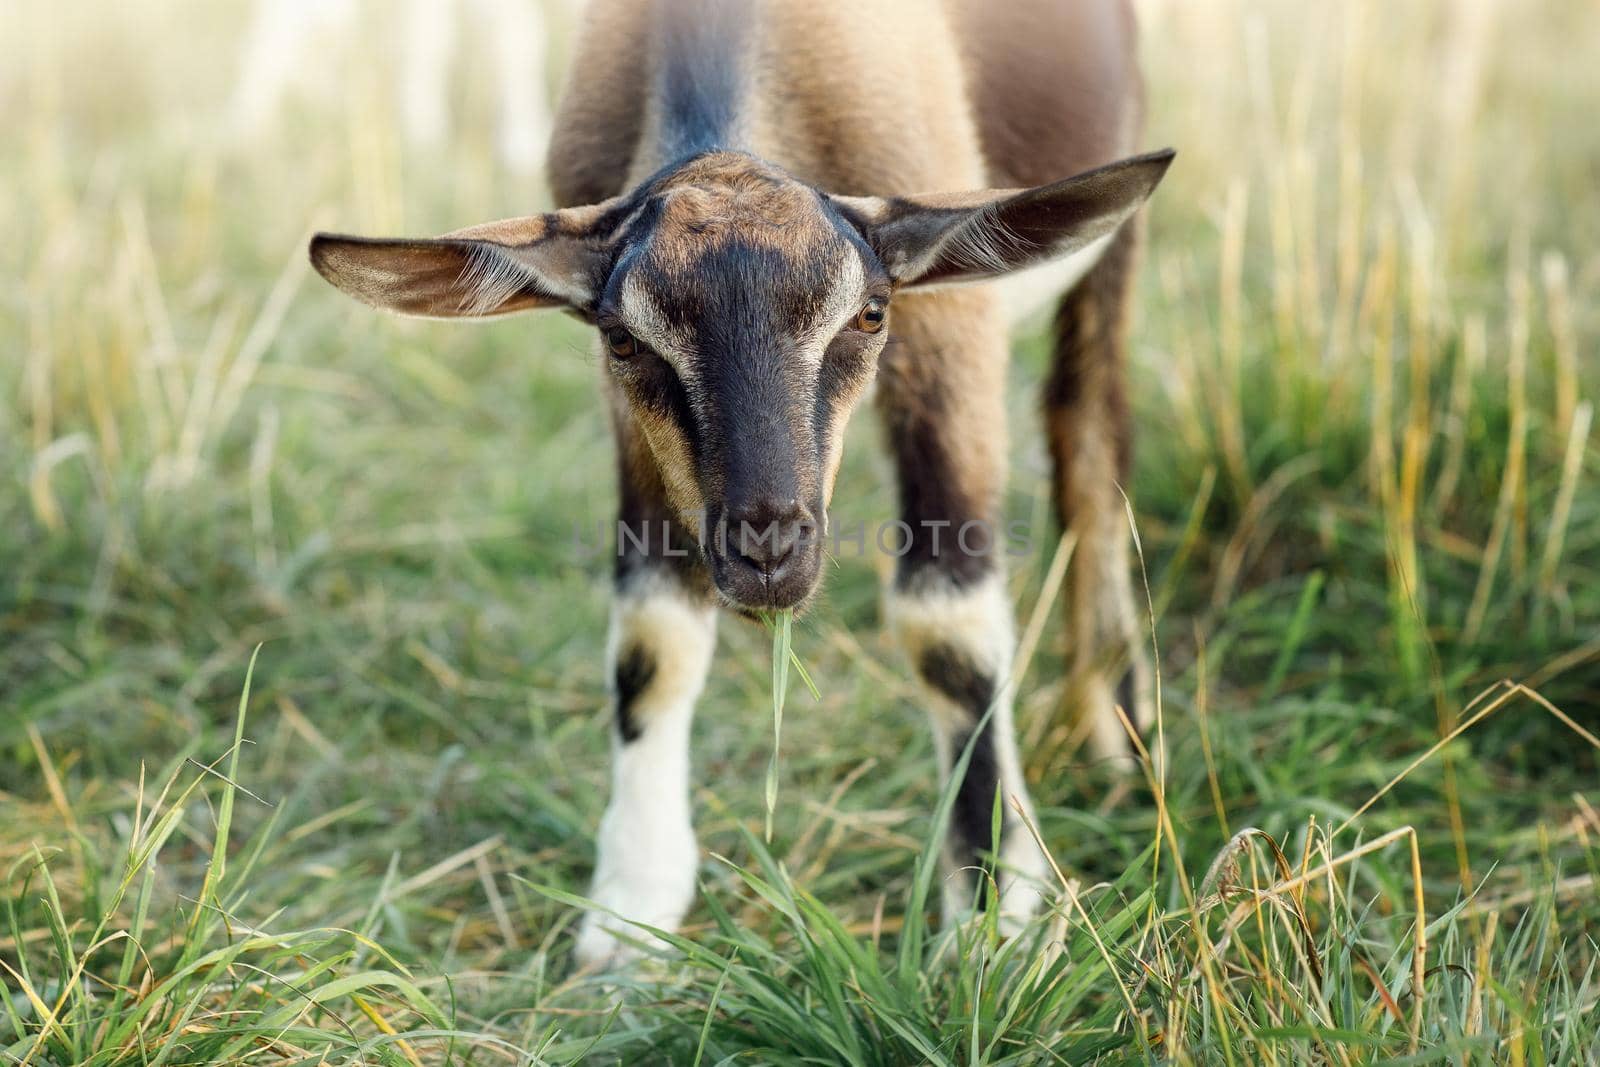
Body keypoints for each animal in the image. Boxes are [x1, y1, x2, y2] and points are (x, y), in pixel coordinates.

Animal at [305, 0, 1177, 966]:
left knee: (1088, 440)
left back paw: (1116, 733)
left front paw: (994, 912)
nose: (769, 550)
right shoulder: (636, 424)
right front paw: (631, 911)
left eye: (869, 313)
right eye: (624, 340)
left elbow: (946, 625)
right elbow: (653, 638)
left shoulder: (952, 326)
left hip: (1111, 247)